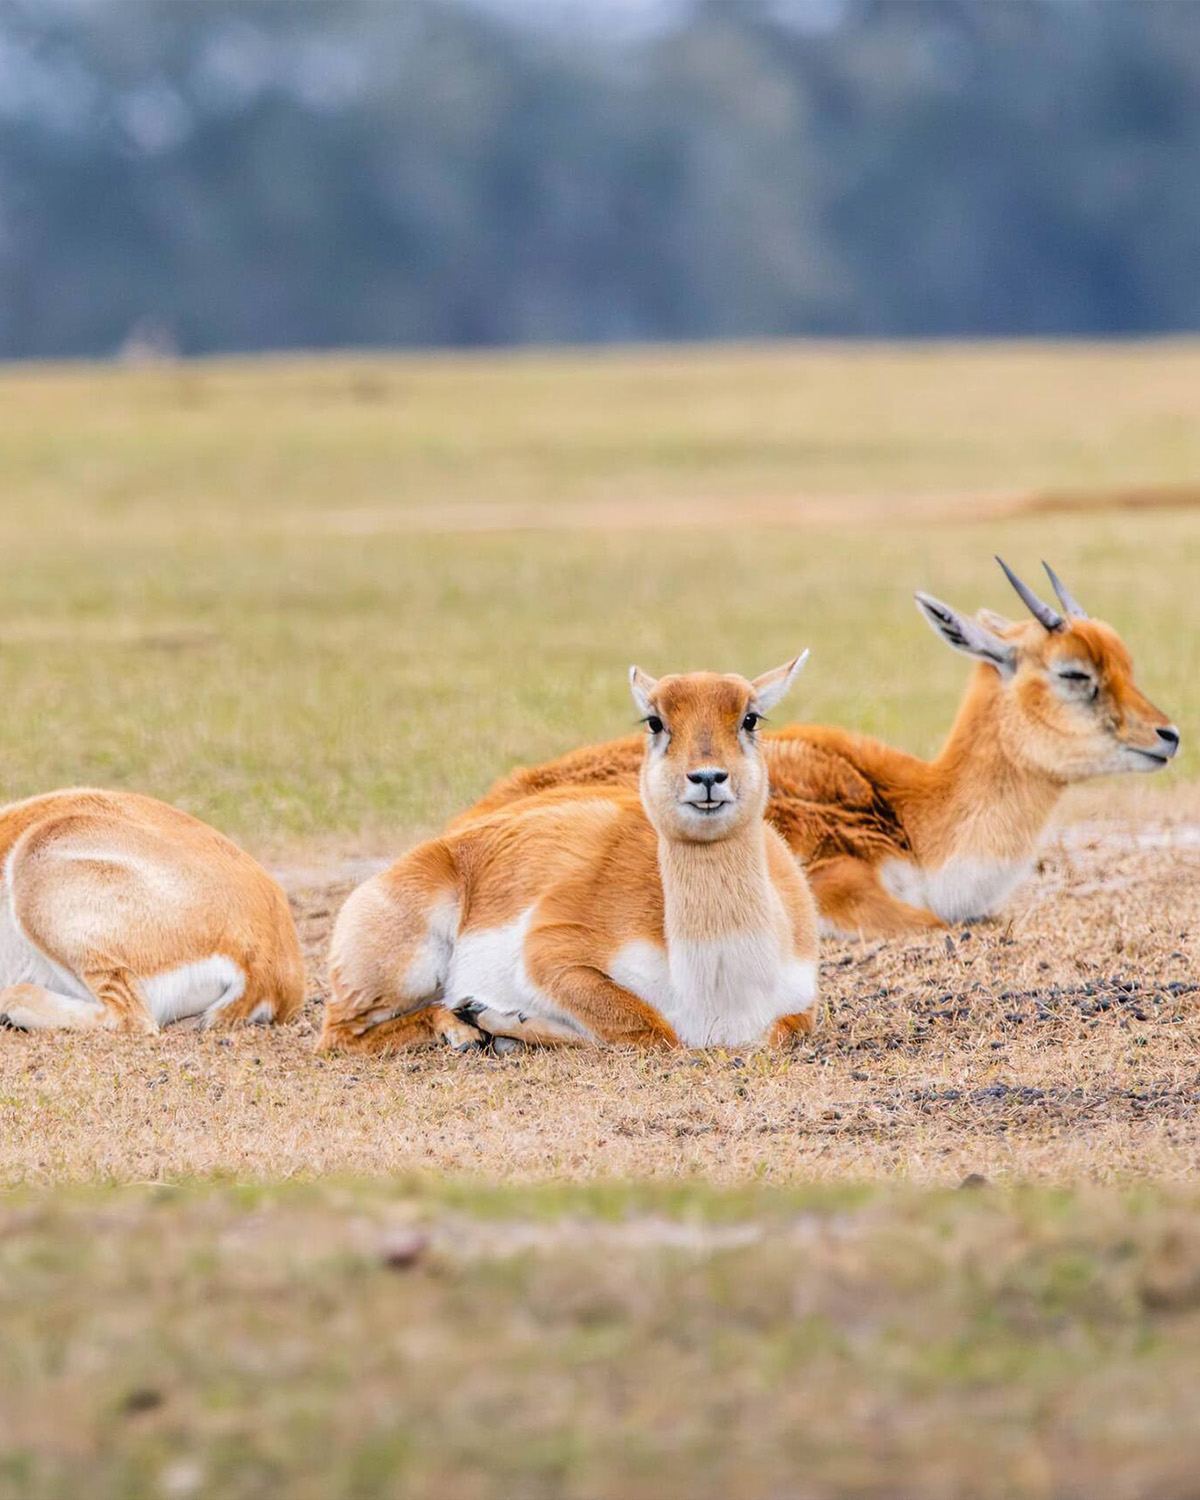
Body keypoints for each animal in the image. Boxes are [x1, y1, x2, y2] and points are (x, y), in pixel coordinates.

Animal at [322, 657, 819, 1053]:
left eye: (751, 717)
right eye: (654, 721)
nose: (708, 777)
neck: (718, 992)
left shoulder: (799, 1009)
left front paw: (500, 1023)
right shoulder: (550, 952)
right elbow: (649, 1029)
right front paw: (493, 1018)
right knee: (337, 1035)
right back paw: (462, 1029)